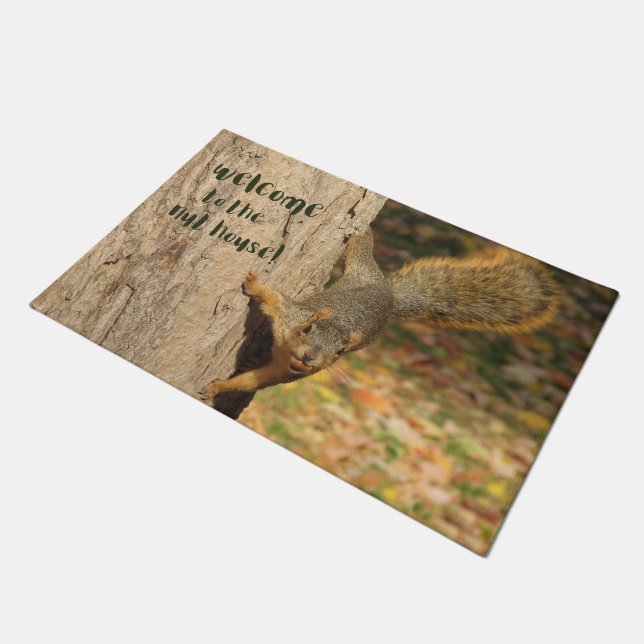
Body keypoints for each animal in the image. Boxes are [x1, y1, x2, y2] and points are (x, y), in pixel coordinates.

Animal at [199, 227, 559, 404]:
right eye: (308, 329)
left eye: (340, 352)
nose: (310, 358)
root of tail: (388, 294)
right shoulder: (290, 315)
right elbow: (272, 298)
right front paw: (254, 284)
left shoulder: (283, 373)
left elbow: (252, 381)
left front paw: (219, 389)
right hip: (362, 267)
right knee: (360, 248)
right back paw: (362, 229)